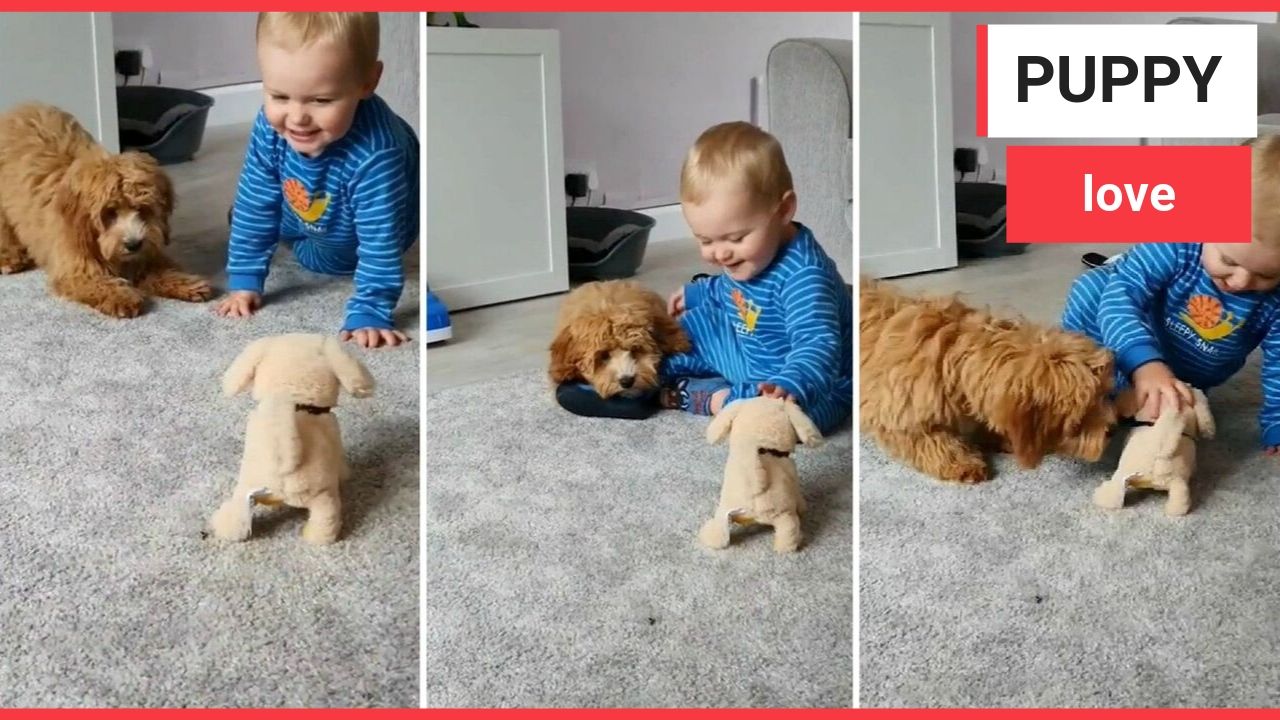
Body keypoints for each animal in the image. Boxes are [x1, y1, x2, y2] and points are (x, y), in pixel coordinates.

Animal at [0, 102, 212, 315]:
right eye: (109, 212)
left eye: (142, 209)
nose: (134, 244)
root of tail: (20, 107)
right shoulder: (77, 264)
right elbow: (97, 281)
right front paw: (122, 296)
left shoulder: (144, 250)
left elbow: (156, 265)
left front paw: (185, 283)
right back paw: (9, 259)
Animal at [860, 274, 1121, 481]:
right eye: (1082, 414)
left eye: (1103, 395)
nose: (1113, 430)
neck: (953, 359)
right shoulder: (898, 414)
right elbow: (929, 439)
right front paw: (961, 463)